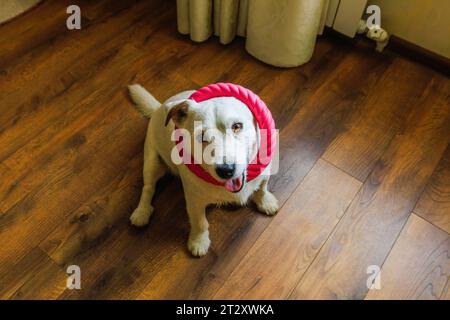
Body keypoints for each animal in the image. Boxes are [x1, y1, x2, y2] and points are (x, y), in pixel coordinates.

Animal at [128, 84, 280, 256]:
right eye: (201, 136)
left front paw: (266, 202)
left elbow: (262, 188)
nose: (226, 170)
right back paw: (142, 212)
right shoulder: (194, 200)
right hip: (152, 162)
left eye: (237, 126)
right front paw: (199, 241)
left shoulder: (264, 174)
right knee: (148, 188)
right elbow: (199, 222)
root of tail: (158, 108)